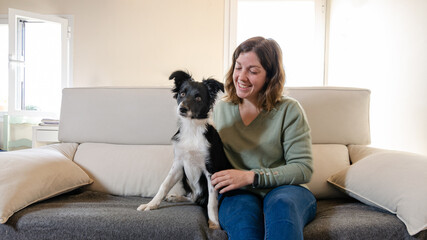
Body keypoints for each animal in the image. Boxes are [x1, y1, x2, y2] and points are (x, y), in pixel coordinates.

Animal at [136, 70, 231, 230]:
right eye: (182, 93)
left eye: (198, 97)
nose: (182, 108)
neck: (192, 129)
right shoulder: (179, 164)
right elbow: (164, 185)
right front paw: (151, 204)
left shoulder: (211, 169)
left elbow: (212, 201)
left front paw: (213, 222)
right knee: (193, 197)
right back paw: (176, 197)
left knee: (200, 199)